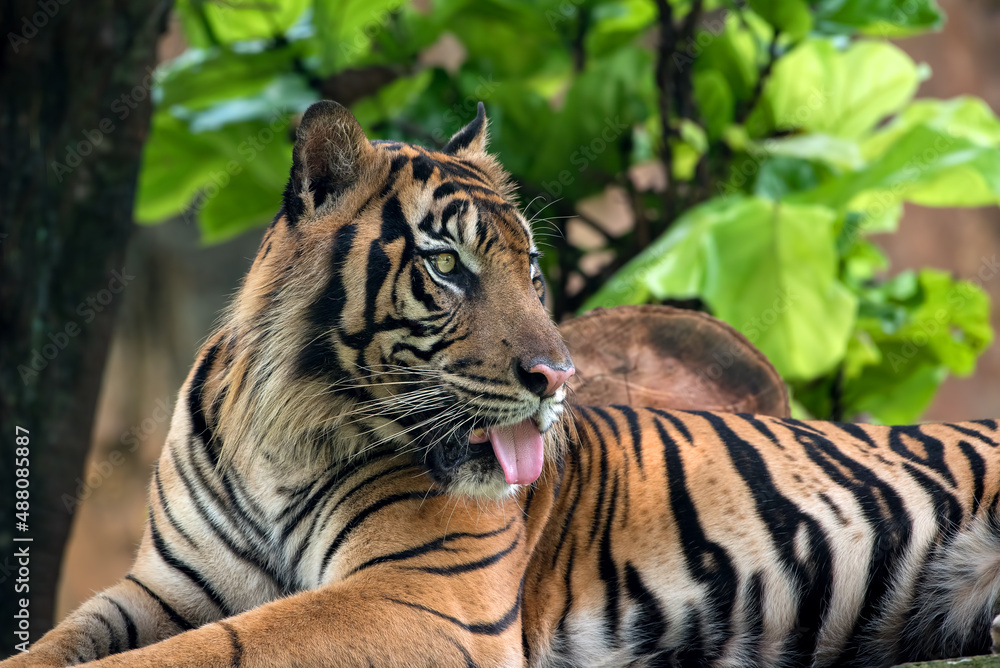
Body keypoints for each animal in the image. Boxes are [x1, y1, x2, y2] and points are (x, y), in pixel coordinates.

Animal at [6, 99, 1000, 668]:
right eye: (447, 266)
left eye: (531, 269)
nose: (558, 377)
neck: (281, 434)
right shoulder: (164, 587)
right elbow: (62, 641)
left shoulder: (418, 594)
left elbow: (220, 648)